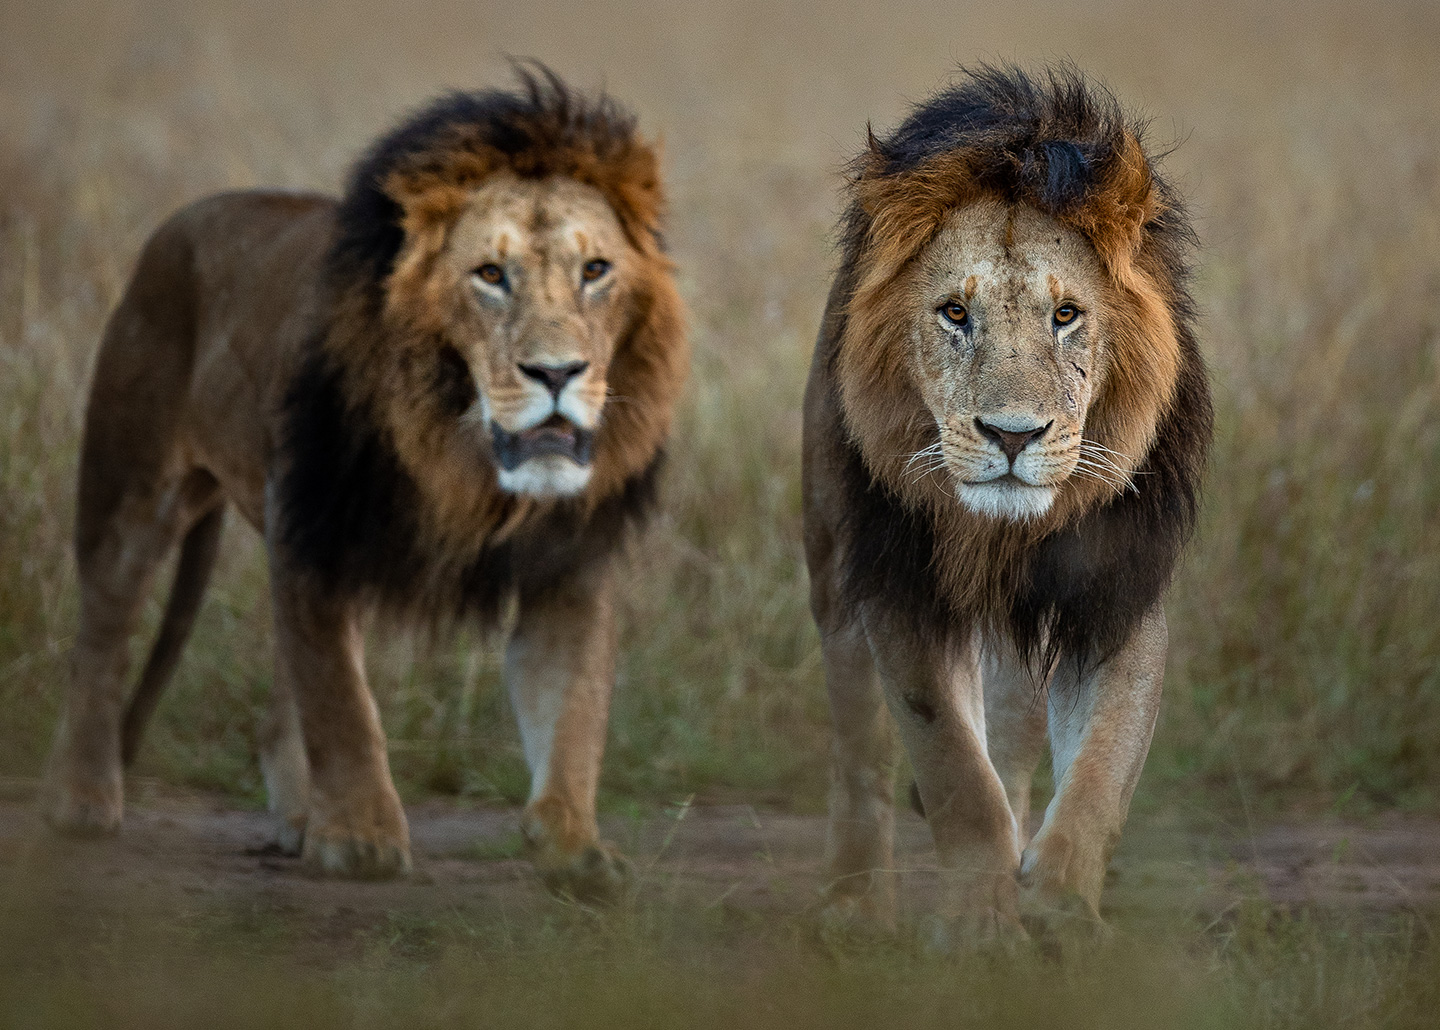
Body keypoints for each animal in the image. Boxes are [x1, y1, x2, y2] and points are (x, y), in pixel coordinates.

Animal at [39, 66, 679, 904]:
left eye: (595, 271)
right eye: (491, 276)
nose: (557, 373)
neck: (460, 459)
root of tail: (184, 218)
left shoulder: (566, 567)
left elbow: (573, 713)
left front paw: (575, 847)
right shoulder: (313, 526)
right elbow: (342, 704)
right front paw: (362, 838)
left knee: (278, 695)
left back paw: (296, 817)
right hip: (133, 488)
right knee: (101, 640)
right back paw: (82, 798)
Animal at [806, 64, 1209, 945]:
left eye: (1067, 315)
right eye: (956, 313)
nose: (1013, 435)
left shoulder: (1115, 592)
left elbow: (1101, 769)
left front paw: (1061, 909)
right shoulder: (902, 587)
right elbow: (955, 770)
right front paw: (977, 924)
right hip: (832, 568)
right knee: (857, 749)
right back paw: (853, 905)